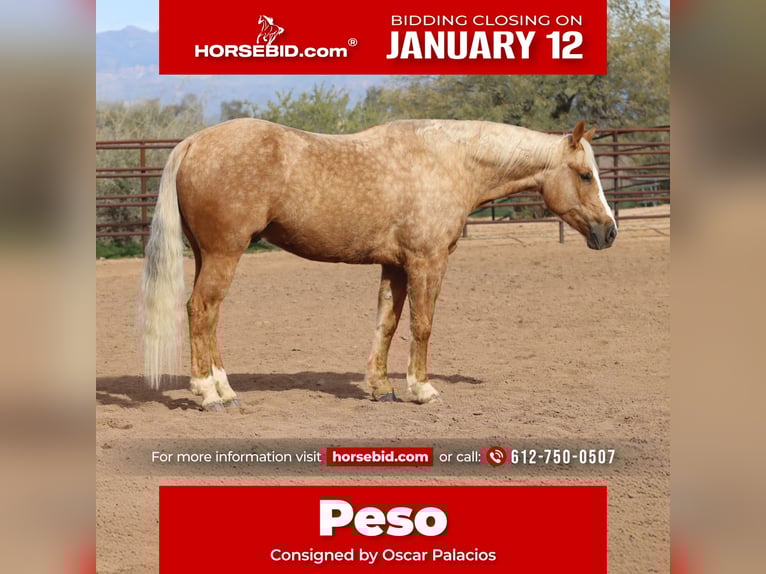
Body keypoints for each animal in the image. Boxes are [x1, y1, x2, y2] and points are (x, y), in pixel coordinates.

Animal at [141, 119, 617, 411]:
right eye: (586, 175)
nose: (609, 232)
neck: (448, 162)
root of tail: (193, 142)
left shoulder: (395, 266)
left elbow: (386, 323)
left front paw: (381, 387)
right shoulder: (427, 262)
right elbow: (422, 325)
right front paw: (422, 388)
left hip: (208, 254)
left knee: (209, 316)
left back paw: (225, 389)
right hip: (224, 253)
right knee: (201, 310)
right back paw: (208, 394)